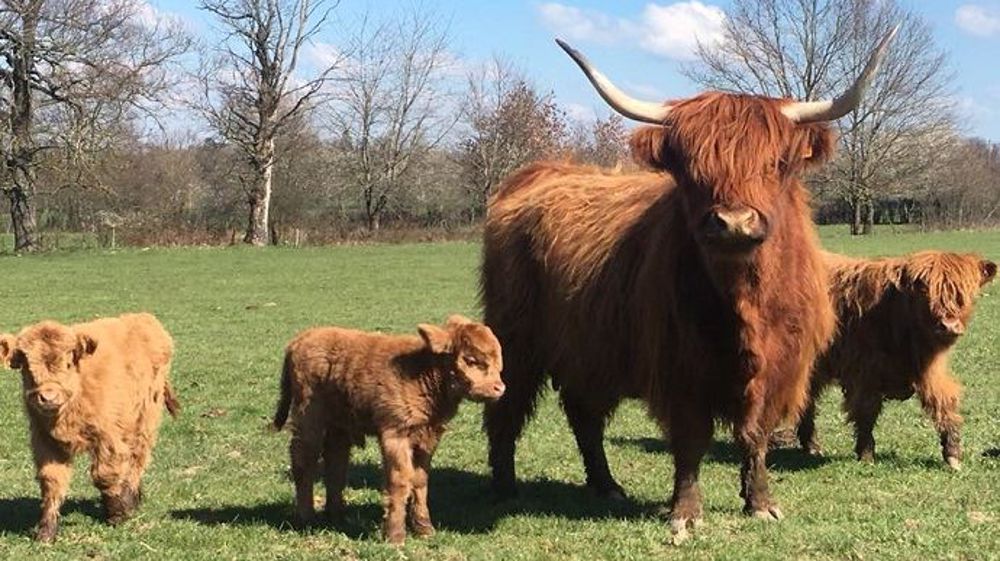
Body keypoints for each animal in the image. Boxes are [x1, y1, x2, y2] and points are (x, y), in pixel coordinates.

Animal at [0, 312, 178, 540]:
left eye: (68, 364)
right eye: (27, 368)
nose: (48, 398)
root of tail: (143, 317)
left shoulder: (108, 438)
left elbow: (104, 475)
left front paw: (117, 513)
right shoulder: (45, 441)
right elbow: (52, 481)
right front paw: (46, 531)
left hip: (146, 418)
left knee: (137, 458)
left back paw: (131, 499)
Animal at [272, 316, 504, 544]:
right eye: (471, 360)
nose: (500, 388)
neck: (421, 372)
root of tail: (301, 339)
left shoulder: (428, 438)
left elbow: (420, 480)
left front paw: (424, 528)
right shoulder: (395, 434)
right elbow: (399, 480)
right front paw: (395, 536)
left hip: (338, 424)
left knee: (336, 462)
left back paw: (337, 515)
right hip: (308, 416)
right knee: (304, 459)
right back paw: (307, 518)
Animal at [480, 30, 896, 540]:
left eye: (776, 163)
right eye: (691, 168)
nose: (734, 222)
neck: (746, 302)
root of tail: (538, 173)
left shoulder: (781, 367)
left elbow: (755, 434)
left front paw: (760, 503)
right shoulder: (678, 367)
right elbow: (691, 440)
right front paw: (685, 512)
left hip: (587, 349)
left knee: (584, 415)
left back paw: (606, 485)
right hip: (515, 337)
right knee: (507, 409)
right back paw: (505, 487)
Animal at [792, 250, 996, 468]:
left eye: (965, 295)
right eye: (925, 292)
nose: (949, 326)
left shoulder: (931, 371)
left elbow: (944, 403)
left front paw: (952, 455)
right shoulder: (864, 373)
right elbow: (866, 411)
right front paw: (866, 455)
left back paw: (811, 446)